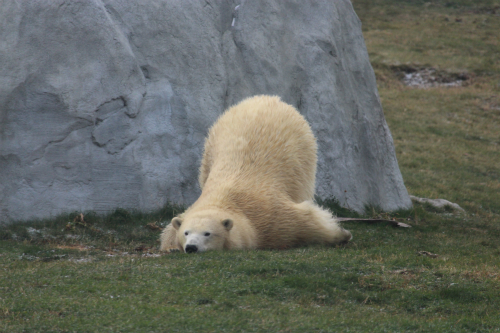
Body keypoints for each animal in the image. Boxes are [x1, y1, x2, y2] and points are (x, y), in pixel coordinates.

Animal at [161, 95, 352, 252]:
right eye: (186, 233)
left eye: (207, 233)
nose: (191, 247)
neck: (229, 200)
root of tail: (268, 98)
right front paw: (172, 246)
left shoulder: (273, 216)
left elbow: (307, 220)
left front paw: (342, 235)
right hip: (210, 146)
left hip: (303, 149)